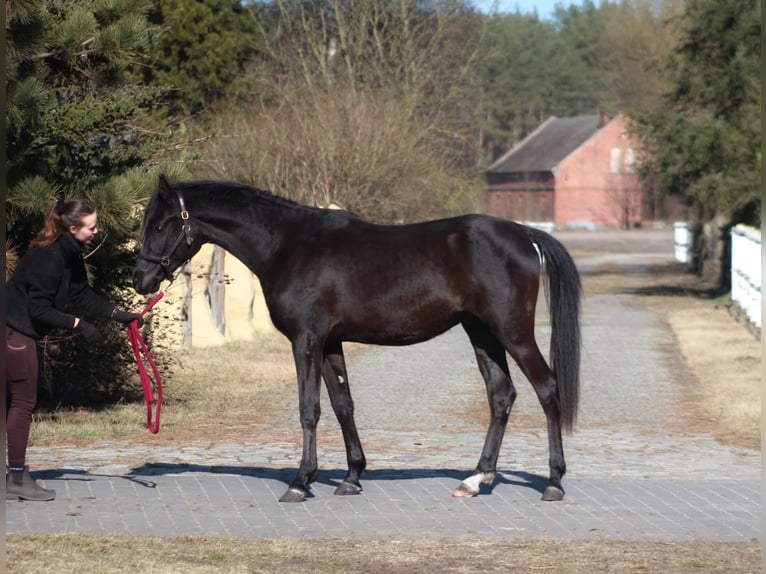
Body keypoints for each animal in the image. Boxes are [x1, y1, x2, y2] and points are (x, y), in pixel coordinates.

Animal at [132, 175, 582, 503]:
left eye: (159, 224)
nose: (141, 280)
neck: (289, 244)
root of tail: (524, 234)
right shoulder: (331, 343)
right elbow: (342, 404)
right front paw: (351, 476)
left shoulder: (307, 340)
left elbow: (309, 409)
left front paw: (301, 481)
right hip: (482, 333)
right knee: (501, 396)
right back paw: (476, 478)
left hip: (513, 332)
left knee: (547, 389)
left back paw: (553, 483)